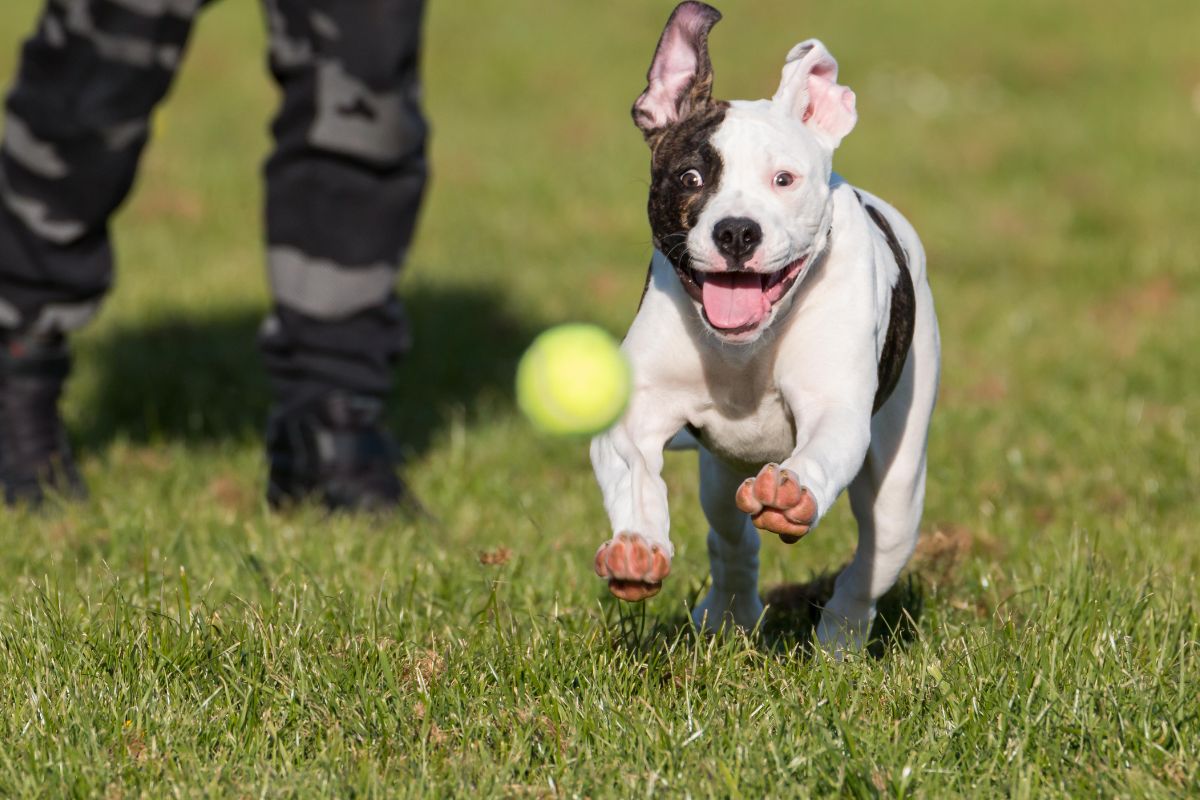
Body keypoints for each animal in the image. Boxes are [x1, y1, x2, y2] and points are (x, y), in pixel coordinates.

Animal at [588, 3, 936, 652]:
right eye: (691, 178)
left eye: (784, 180)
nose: (736, 231)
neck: (745, 350)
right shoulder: (636, 414)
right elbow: (632, 469)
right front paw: (637, 546)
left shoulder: (835, 407)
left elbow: (822, 446)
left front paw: (791, 491)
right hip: (720, 475)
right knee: (731, 539)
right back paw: (729, 613)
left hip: (900, 483)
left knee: (872, 561)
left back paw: (840, 641)